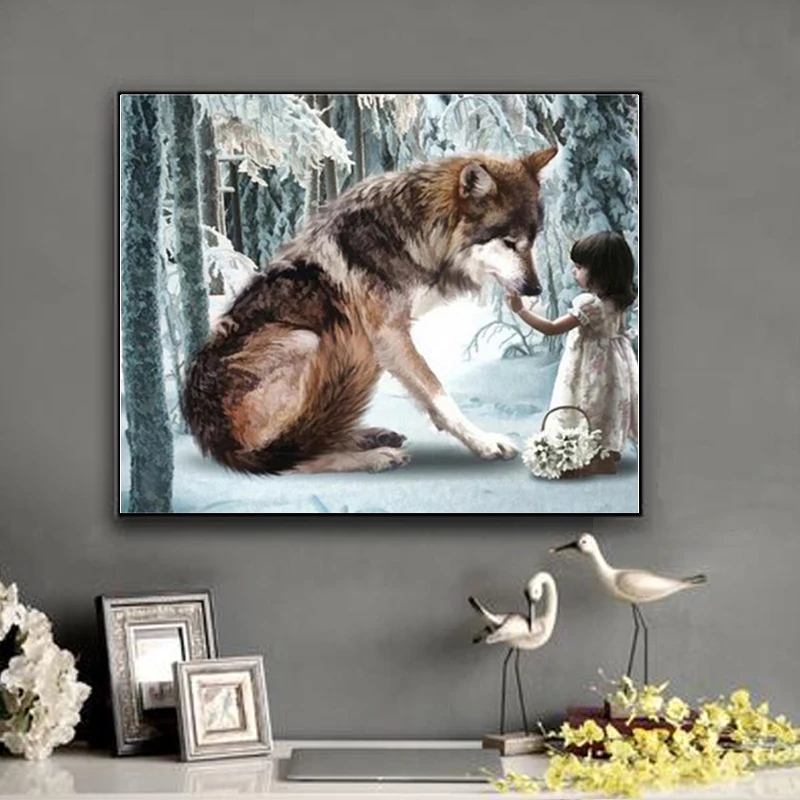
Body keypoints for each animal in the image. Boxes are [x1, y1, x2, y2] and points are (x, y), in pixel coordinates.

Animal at [182, 146, 557, 474]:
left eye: (533, 239)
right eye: (508, 242)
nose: (535, 289)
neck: (410, 233)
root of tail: (210, 435)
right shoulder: (388, 333)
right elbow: (438, 394)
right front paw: (483, 442)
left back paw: (368, 436)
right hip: (306, 340)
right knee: (295, 457)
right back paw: (375, 457)